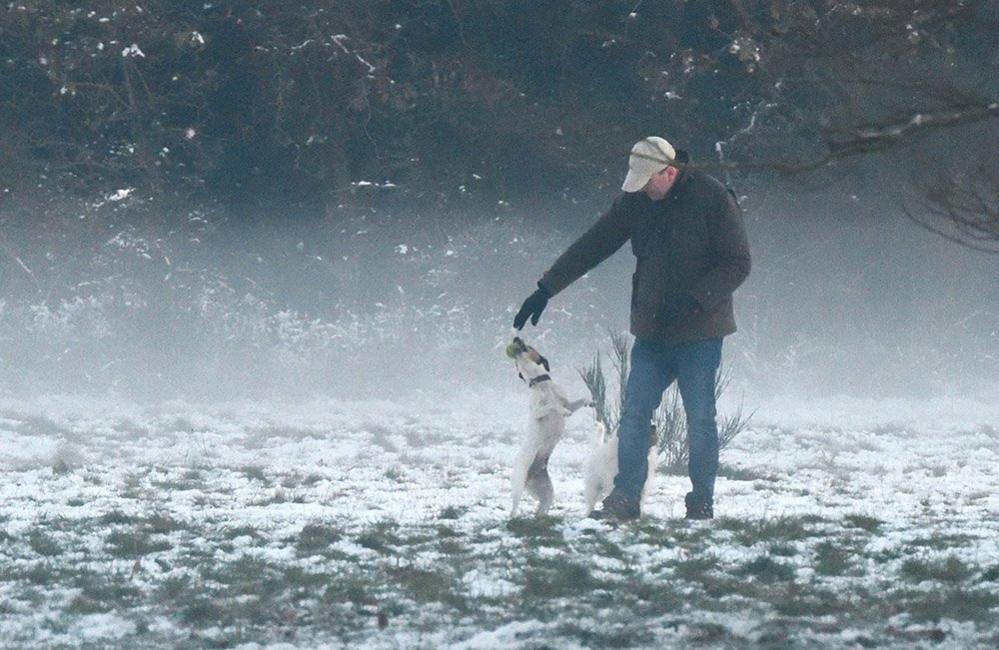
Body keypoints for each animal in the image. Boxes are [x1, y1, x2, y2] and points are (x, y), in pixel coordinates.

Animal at [512, 336, 588, 512]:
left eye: (530, 345)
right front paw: (562, 412)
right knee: (513, 509)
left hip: (547, 495)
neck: (541, 384)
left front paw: (591, 401)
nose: (516, 337)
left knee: (541, 510)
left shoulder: (570, 404)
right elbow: (553, 405)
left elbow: (579, 401)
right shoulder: (537, 411)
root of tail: (529, 477)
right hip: (518, 485)